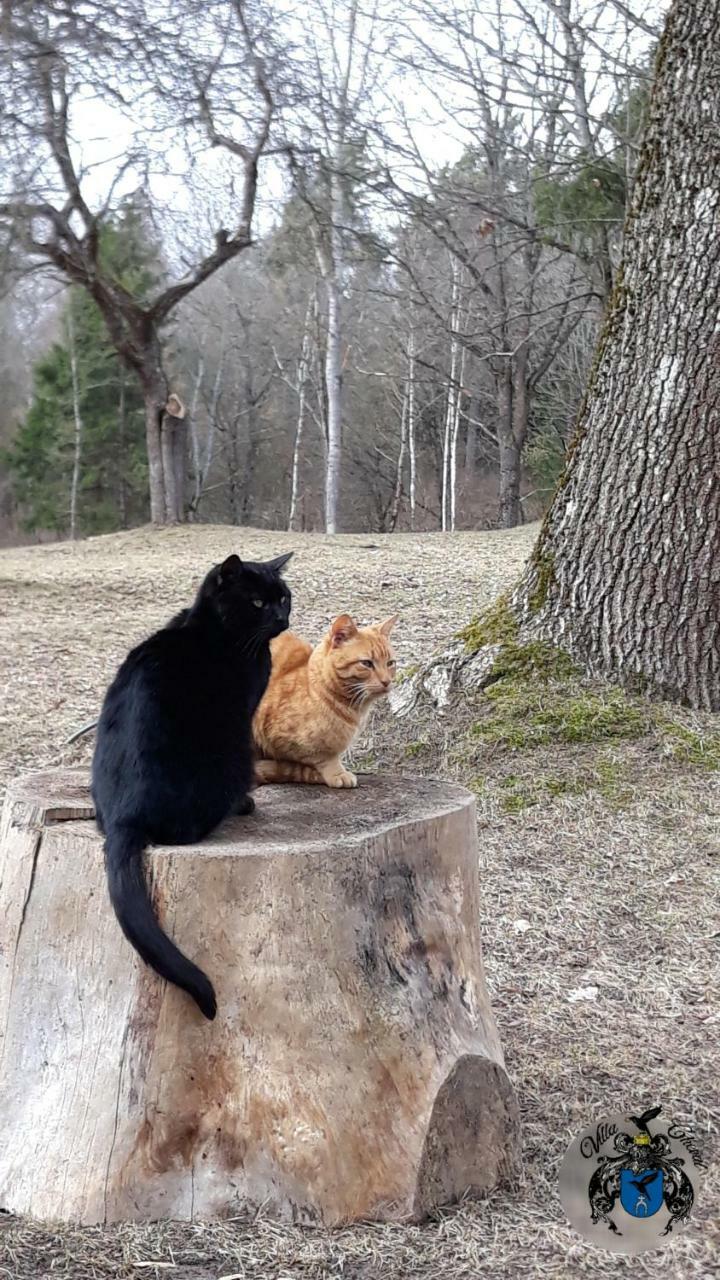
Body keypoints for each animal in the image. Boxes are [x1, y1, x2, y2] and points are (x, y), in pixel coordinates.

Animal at [92, 550, 292, 1018]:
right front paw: (249, 802)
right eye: (258, 603)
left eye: (284, 597)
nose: (282, 618)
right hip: (232, 754)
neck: (208, 628)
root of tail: (124, 817)